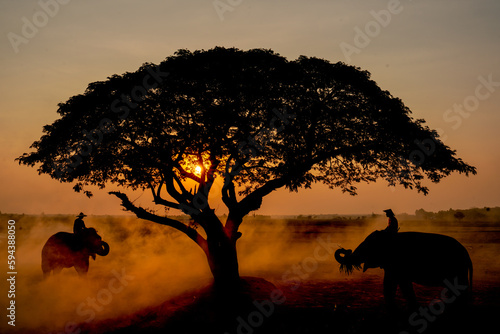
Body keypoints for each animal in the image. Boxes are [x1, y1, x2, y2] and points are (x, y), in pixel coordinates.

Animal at [336, 231, 472, 310]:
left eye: (366, 247)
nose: (345, 249)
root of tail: (467, 255)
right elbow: (395, 284)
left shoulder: (397, 263)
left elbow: (397, 284)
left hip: (458, 269)